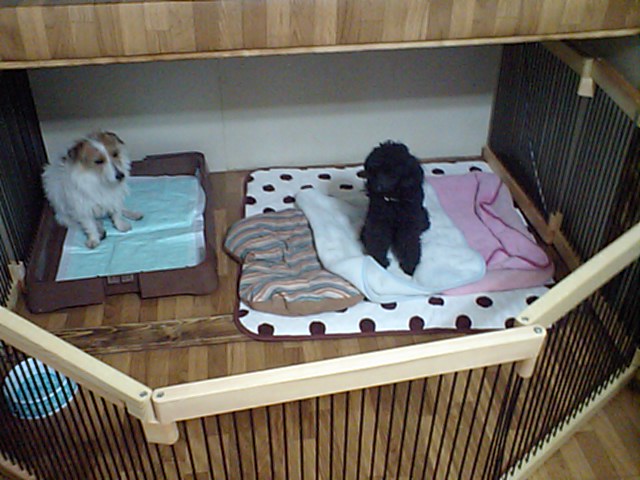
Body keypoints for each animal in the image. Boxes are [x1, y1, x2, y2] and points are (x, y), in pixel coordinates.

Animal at [360, 141, 430, 276]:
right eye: (376, 170)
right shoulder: (378, 220)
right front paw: (379, 260)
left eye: (392, 174)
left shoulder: (409, 224)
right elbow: (377, 238)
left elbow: (409, 241)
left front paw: (409, 265)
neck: (393, 198)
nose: (377, 187)